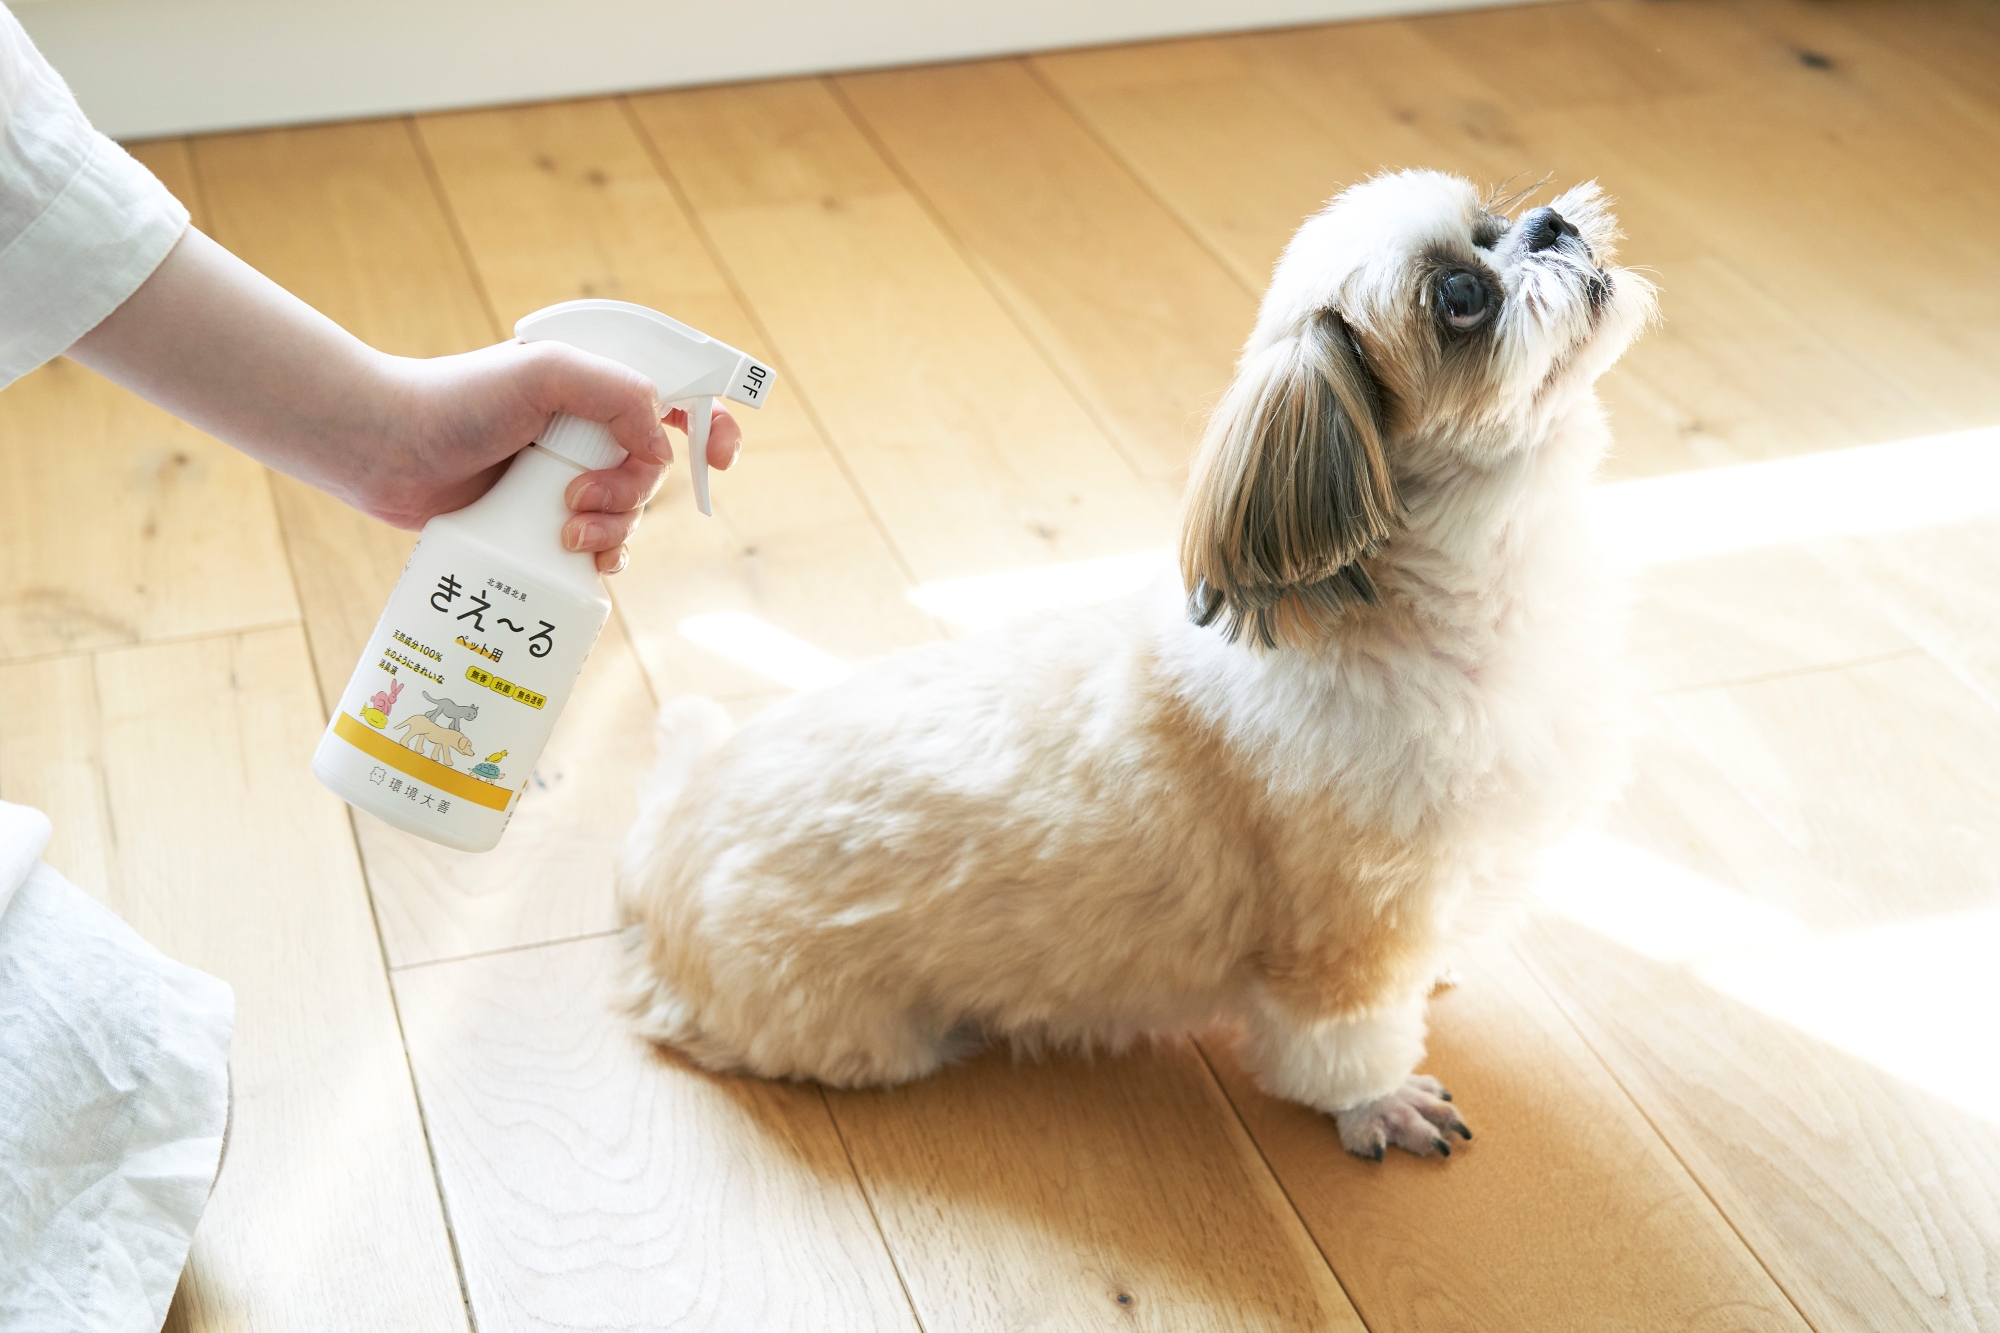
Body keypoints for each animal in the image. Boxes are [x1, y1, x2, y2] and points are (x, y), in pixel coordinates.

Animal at [617, 170, 1654, 1159]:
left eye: (1493, 221)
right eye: (1459, 299)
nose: (1552, 226)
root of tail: (666, 836)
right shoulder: (1350, 928)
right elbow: (1342, 1040)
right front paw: (1378, 1101)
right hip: (858, 1033)